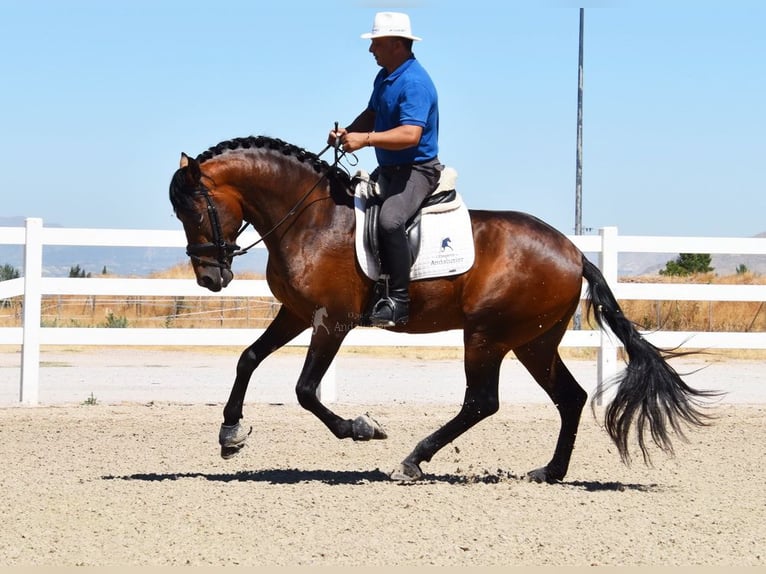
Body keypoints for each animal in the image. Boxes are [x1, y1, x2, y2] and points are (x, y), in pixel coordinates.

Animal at [168, 137, 720, 484]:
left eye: (193, 208)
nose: (210, 279)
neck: (311, 217)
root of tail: (574, 252)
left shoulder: (333, 321)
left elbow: (306, 390)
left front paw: (362, 428)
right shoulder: (298, 314)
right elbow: (247, 358)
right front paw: (230, 434)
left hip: (487, 336)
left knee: (482, 402)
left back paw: (413, 460)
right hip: (534, 341)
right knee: (570, 397)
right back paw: (549, 472)